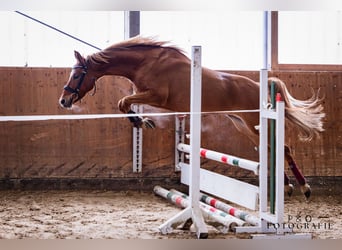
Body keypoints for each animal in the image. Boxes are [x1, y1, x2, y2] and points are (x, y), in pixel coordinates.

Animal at [59, 36, 326, 199]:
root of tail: (260, 86)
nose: (64, 100)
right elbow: (125, 104)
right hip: (243, 125)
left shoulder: (157, 95)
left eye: (77, 75)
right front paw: (143, 121)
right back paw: (289, 187)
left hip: (254, 124)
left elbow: (123, 102)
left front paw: (141, 122)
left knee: (282, 148)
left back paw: (304, 187)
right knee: (273, 149)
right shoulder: (147, 97)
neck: (146, 63)